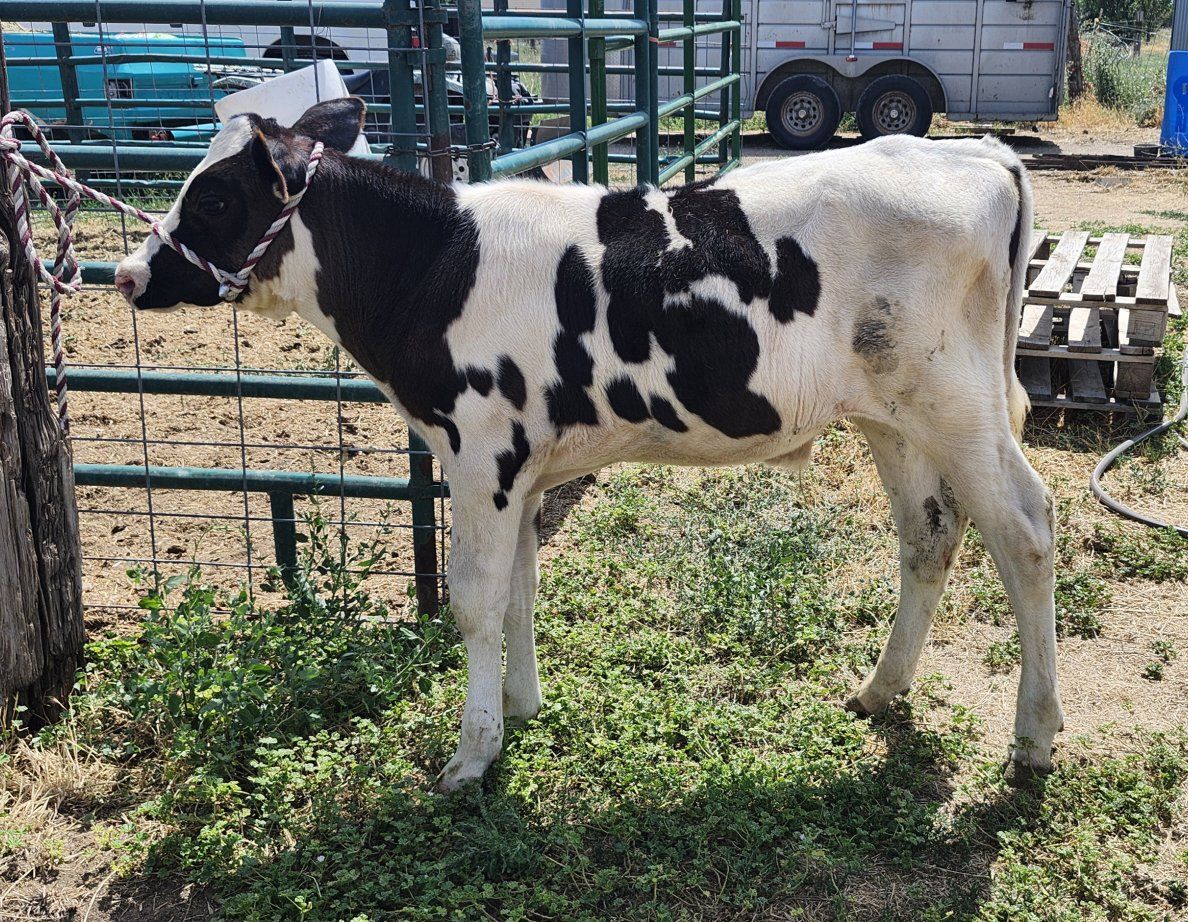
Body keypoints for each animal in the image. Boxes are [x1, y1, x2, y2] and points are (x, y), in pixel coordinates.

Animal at [115, 98, 1064, 792]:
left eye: (215, 197)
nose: (127, 273)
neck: (436, 267)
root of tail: (977, 154)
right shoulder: (525, 470)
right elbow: (520, 592)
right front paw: (521, 710)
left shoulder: (480, 457)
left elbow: (473, 601)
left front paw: (470, 757)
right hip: (891, 415)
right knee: (930, 534)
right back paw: (878, 691)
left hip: (959, 405)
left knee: (1024, 530)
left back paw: (1033, 740)